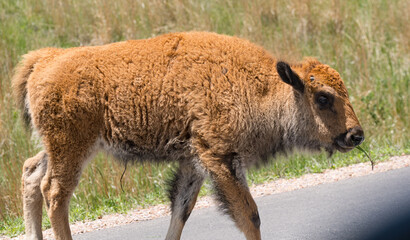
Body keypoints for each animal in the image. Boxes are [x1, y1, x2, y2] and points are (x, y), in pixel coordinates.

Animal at [12, 32, 364, 240]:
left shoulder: (193, 163)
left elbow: (181, 209)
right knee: (55, 193)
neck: (262, 88)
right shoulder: (220, 158)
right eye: (323, 97)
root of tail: (45, 58)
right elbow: (249, 215)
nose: (356, 135)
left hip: (55, 148)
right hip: (71, 148)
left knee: (31, 172)